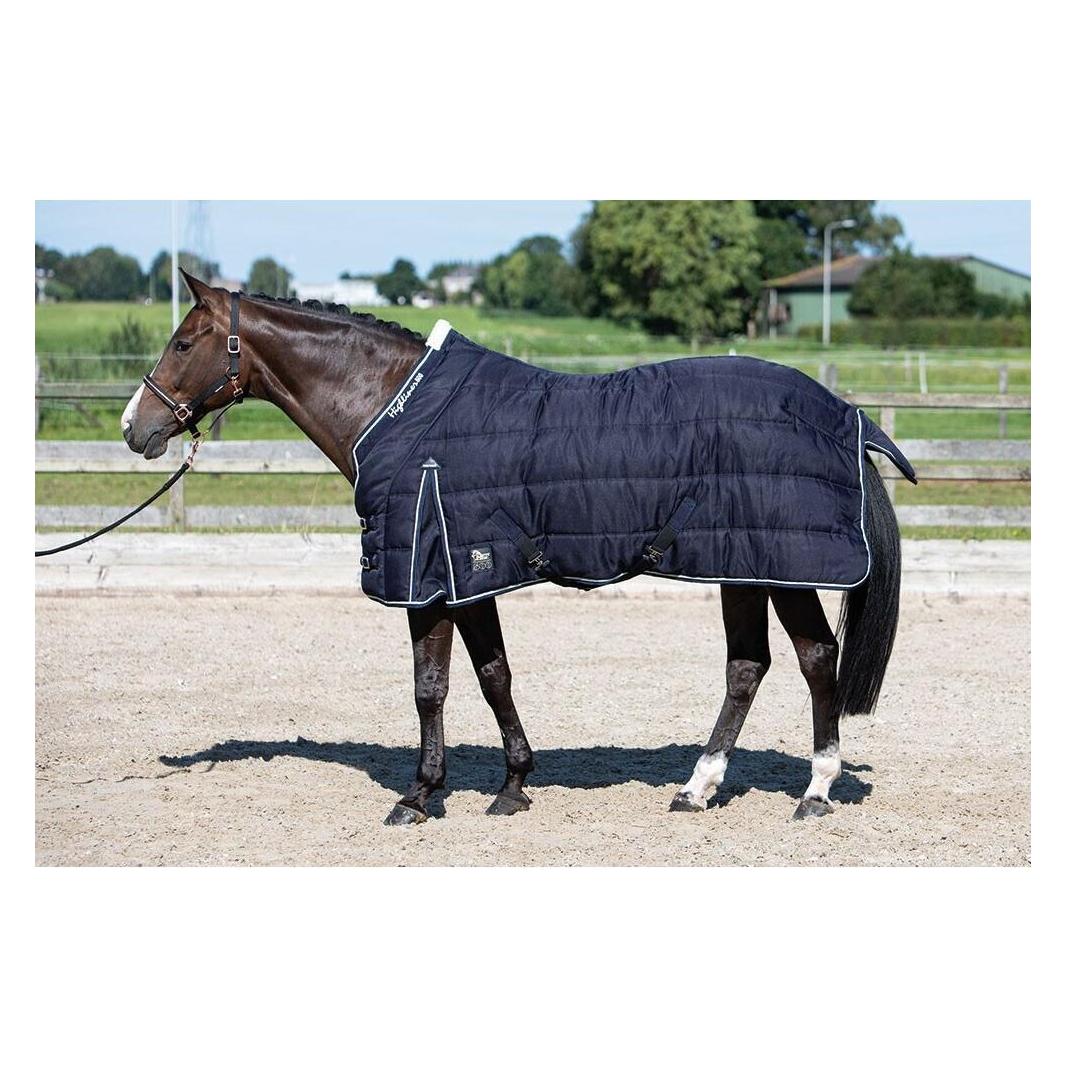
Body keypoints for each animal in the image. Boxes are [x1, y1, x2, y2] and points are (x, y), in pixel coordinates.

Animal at [122, 270, 903, 825]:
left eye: (183, 343)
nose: (135, 426)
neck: (394, 408)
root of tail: (844, 415)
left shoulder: (427, 577)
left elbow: (431, 687)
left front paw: (418, 797)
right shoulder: (468, 574)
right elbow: (493, 674)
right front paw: (513, 784)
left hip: (780, 566)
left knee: (814, 658)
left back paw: (814, 791)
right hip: (741, 564)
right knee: (749, 667)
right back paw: (697, 789)